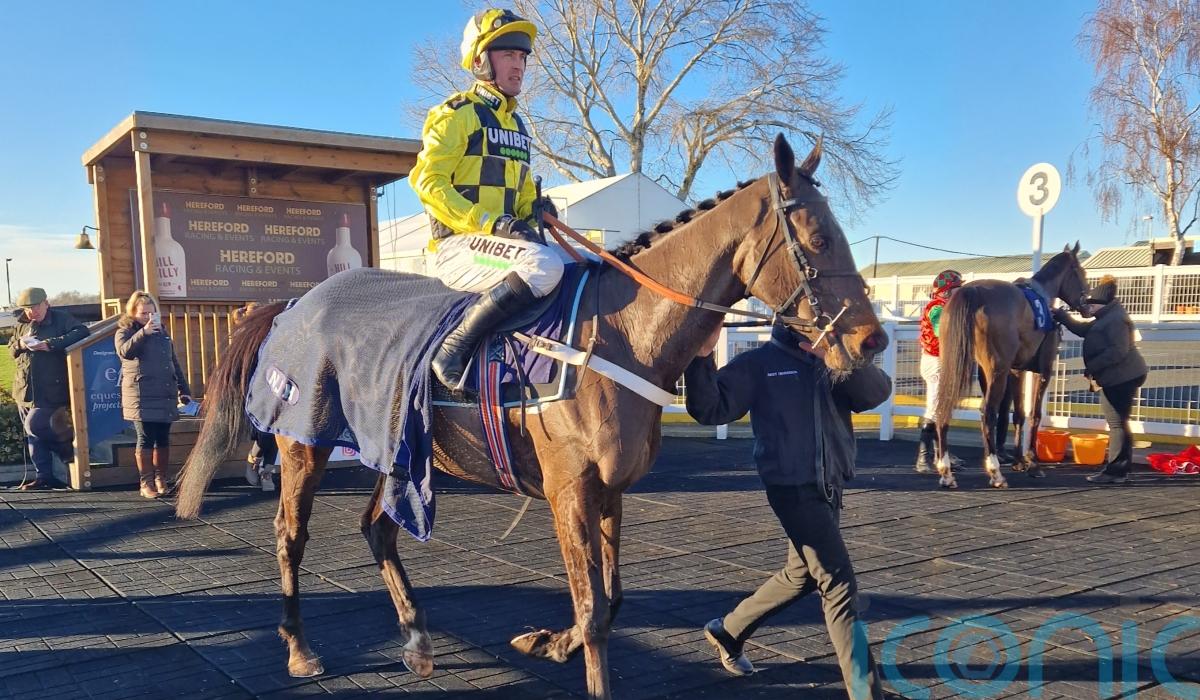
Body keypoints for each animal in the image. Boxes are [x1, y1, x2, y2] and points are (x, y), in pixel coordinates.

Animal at [174, 135, 888, 700]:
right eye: (820, 238)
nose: (871, 341)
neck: (619, 333)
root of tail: (293, 303)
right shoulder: (566, 488)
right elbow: (593, 606)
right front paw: (576, 657)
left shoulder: (610, 489)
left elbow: (610, 598)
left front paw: (548, 641)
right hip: (306, 443)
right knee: (290, 535)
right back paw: (300, 648)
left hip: (396, 446)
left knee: (377, 530)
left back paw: (417, 639)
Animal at [932, 243, 1088, 489]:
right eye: (1082, 273)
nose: (1088, 304)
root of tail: (973, 292)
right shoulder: (1044, 370)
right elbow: (1034, 414)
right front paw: (1032, 463)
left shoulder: (1016, 371)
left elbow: (1020, 414)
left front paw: (1019, 461)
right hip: (996, 370)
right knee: (987, 412)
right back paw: (995, 472)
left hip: (957, 365)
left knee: (944, 407)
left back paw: (946, 471)